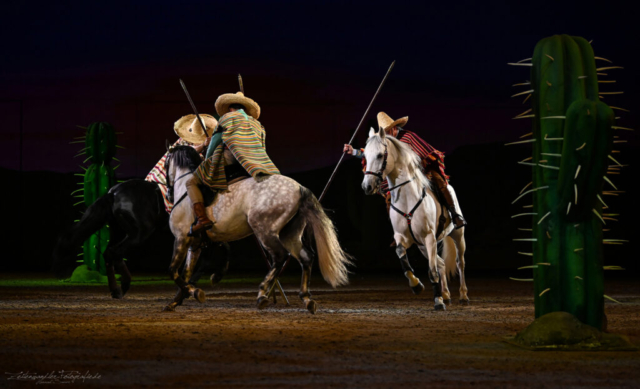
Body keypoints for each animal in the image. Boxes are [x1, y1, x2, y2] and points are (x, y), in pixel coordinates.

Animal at [53, 179, 230, 298]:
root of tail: (114, 193)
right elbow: (220, 251)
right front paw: (211, 277)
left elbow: (217, 250)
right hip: (140, 233)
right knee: (113, 252)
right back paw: (121, 287)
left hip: (122, 232)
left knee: (110, 252)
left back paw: (119, 288)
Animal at [360, 127, 470, 310]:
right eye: (365, 156)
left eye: (380, 155)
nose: (367, 186)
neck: (407, 199)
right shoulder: (403, 238)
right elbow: (401, 255)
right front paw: (416, 285)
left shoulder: (429, 237)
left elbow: (432, 270)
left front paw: (438, 301)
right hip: (422, 246)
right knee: (441, 263)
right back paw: (446, 294)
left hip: (457, 235)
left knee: (459, 262)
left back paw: (463, 295)